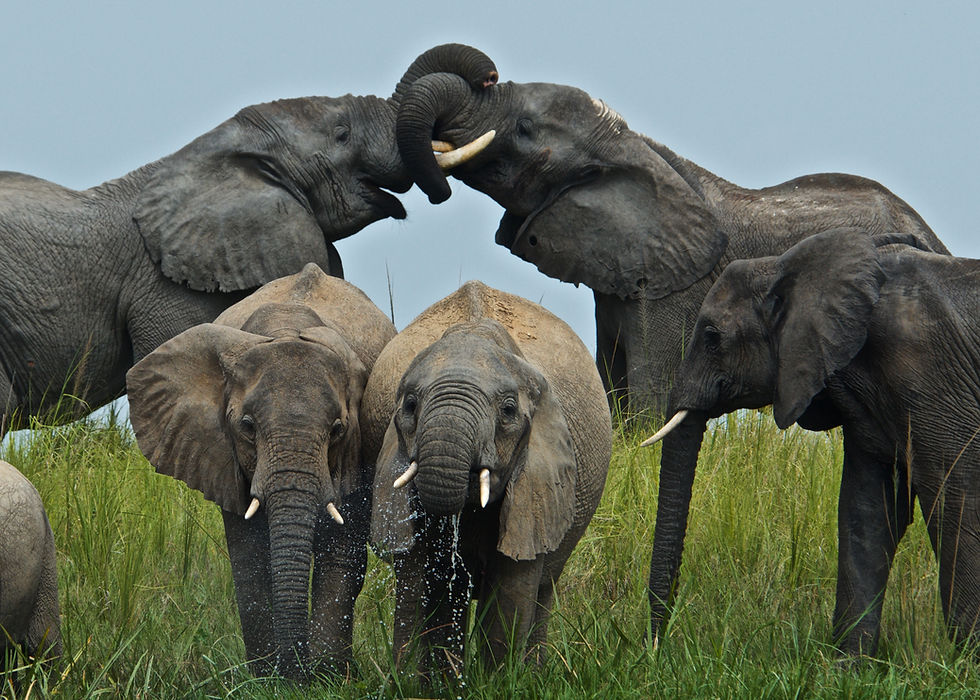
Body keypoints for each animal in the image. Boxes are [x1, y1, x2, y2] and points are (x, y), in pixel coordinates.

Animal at [126, 263, 395, 679]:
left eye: (337, 430)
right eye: (247, 426)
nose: (297, 673)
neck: (286, 327)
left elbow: (341, 549)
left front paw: (326, 674)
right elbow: (250, 557)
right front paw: (269, 676)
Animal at [363, 280, 612, 679]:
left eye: (508, 410)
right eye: (410, 406)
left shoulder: (538, 478)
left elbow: (512, 588)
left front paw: (501, 683)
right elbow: (416, 578)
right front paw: (415, 686)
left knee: (543, 589)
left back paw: (532, 676)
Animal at [392, 45, 949, 414]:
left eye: (525, 129)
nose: (488, 73)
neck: (632, 146)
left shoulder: (676, 294)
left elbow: (647, 398)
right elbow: (612, 386)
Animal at [643, 228, 980, 657]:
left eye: (712, 337)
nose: (653, 648)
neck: (785, 265)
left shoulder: (929, 373)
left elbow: (957, 500)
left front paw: (966, 659)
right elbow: (867, 510)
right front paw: (847, 665)